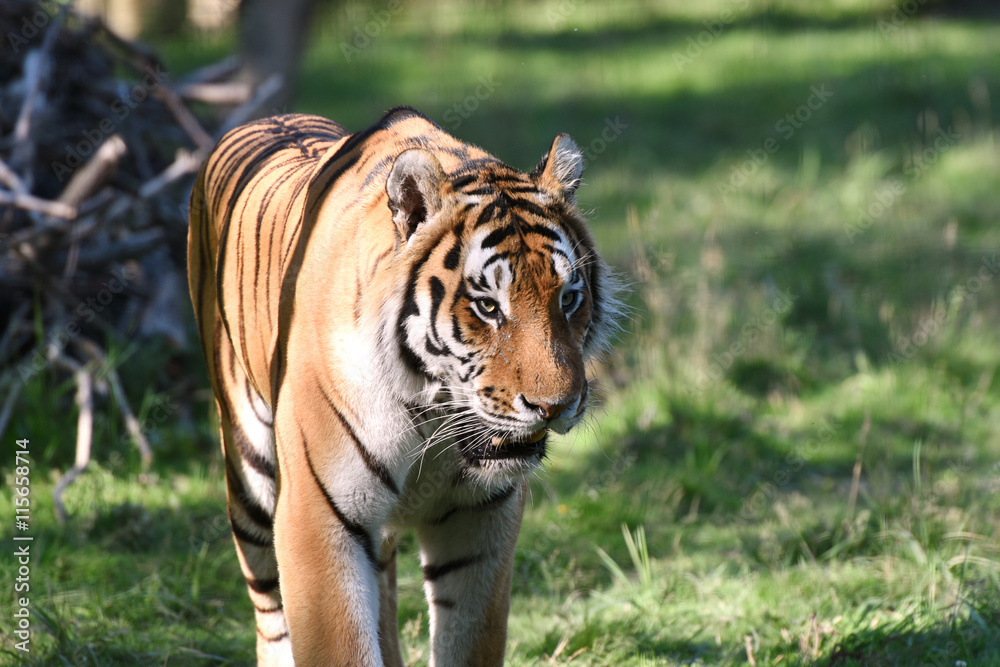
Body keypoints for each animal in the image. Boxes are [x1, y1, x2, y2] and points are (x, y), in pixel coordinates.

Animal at [187, 106, 623, 666]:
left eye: (568, 298)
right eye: (487, 306)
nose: (556, 406)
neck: (432, 412)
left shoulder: (481, 519)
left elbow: (469, 642)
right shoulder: (317, 519)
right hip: (250, 473)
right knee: (269, 611)